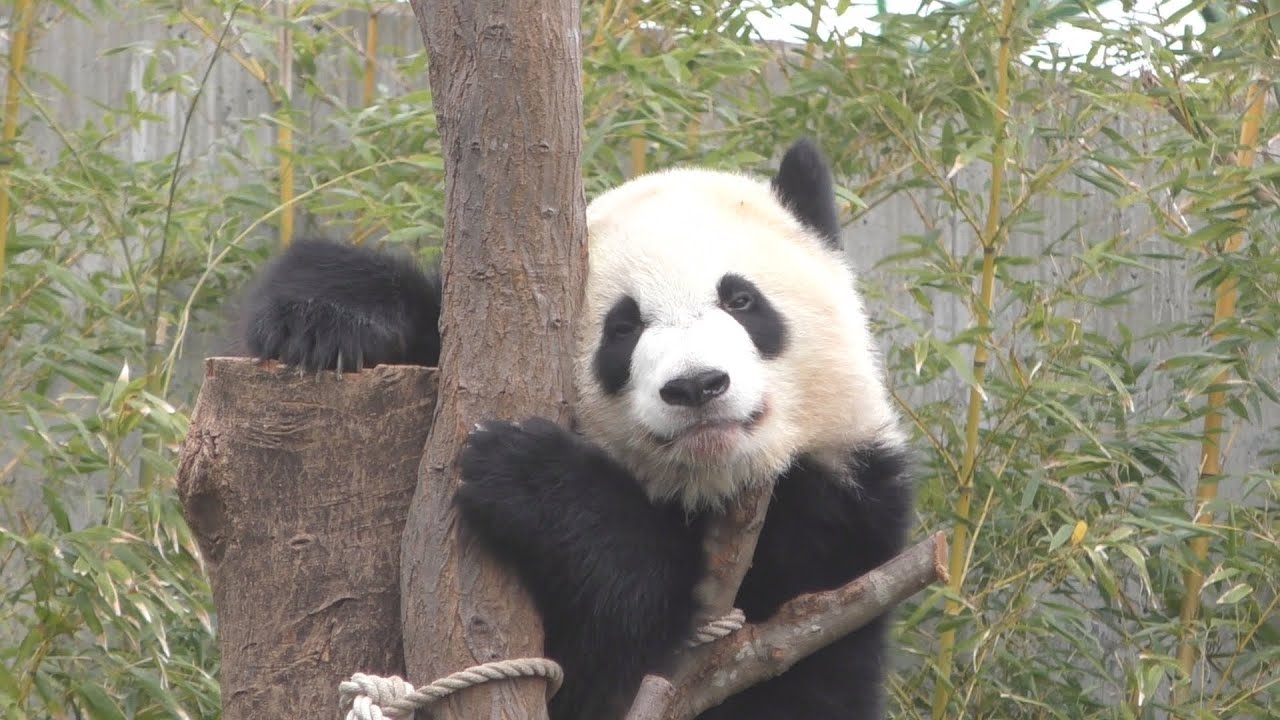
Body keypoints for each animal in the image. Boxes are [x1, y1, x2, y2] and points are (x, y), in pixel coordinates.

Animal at [238, 139, 913, 720]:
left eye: (742, 300)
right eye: (624, 328)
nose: (696, 386)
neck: (708, 482)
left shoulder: (832, 541)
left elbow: (648, 638)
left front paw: (529, 474)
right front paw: (324, 319)